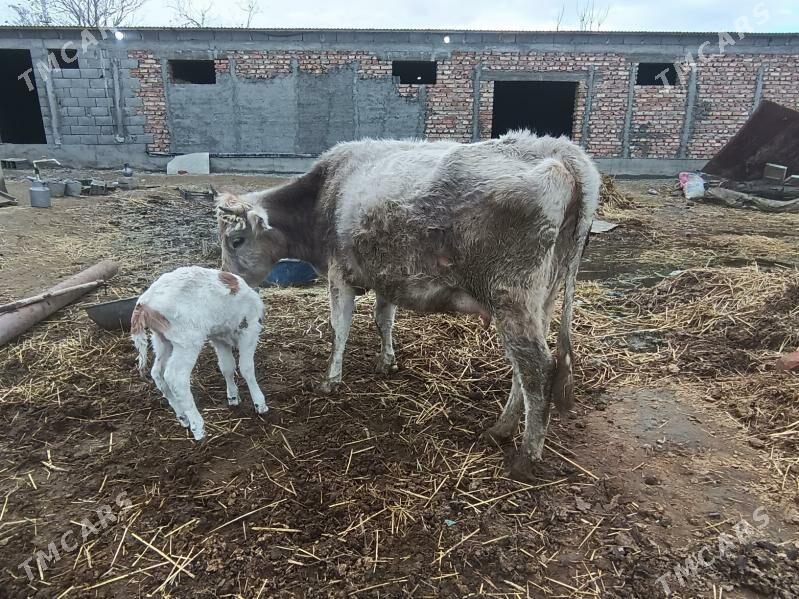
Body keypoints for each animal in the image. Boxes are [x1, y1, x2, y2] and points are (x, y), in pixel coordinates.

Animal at [131, 266, 267, 440]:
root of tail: (143, 303)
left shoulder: (219, 338)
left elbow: (227, 367)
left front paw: (233, 397)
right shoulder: (249, 330)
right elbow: (246, 368)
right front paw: (260, 403)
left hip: (162, 340)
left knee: (157, 373)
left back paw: (183, 417)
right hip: (187, 341)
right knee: (175, 378)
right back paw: (198, 427)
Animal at [216, 131, 600, 470]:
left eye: (236, 241)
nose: (227, 280)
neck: (325, 193)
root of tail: (560, 149)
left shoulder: (339, 273)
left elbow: (340, 328)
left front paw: (330, 381)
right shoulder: (386, 278)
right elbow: (383, 320)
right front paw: (387, 361)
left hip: (512, 298)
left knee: (537, 368)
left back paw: (526, 455)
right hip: (541, 300)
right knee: (525, 371)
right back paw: (501, 429)